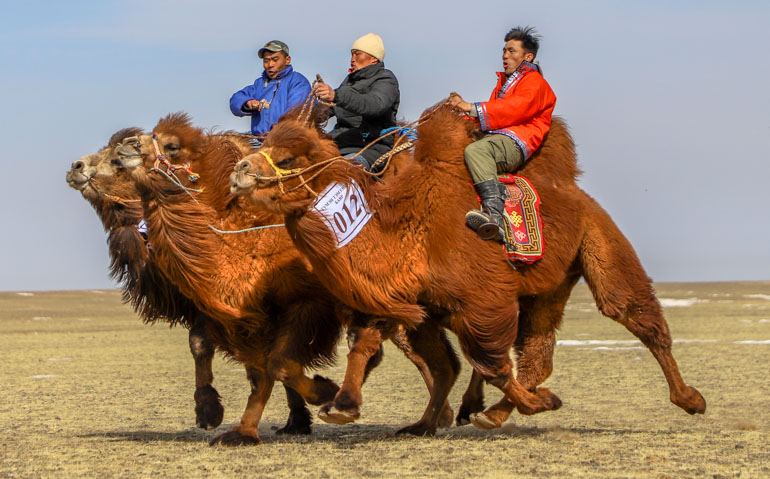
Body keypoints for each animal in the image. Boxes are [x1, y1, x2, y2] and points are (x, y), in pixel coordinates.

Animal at [231, 102, 704, 432]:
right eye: (267, 145)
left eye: (287, 159)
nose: (239, 171)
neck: (406, 228)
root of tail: (575, 192)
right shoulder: (408, 300)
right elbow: (373, 343)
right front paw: (342, 406)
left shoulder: (483, 298)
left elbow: (492, 362)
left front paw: (542, 404)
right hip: (548, 287)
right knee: (536, 354)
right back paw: (474, 415)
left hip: (599, 239)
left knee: (632, 313)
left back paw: (690, 399)